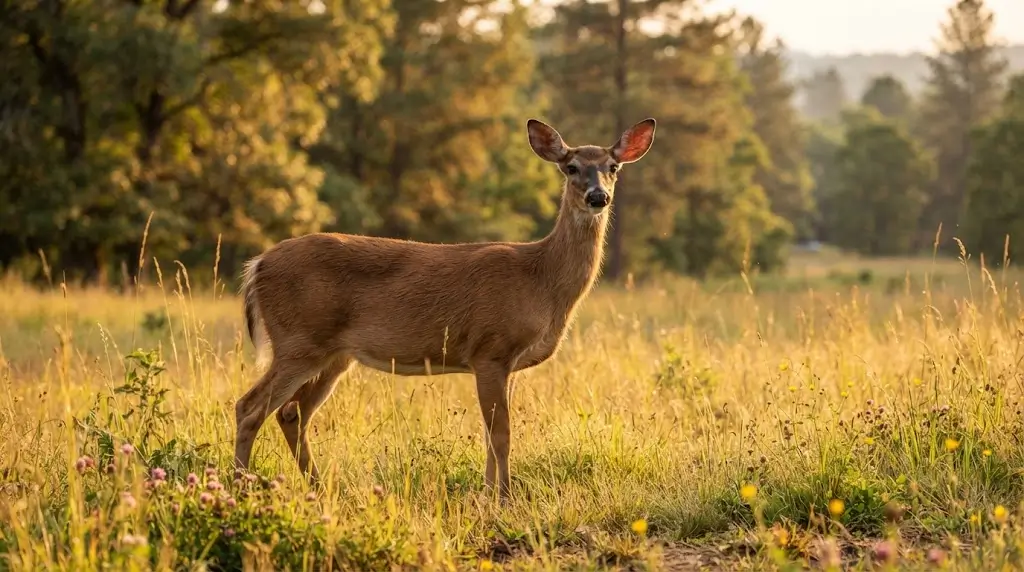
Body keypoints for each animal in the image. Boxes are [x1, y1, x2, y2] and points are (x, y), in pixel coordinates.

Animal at [233, 117, 657, 499]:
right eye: (571, 167)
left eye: (613, 167)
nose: (598, 197)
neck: (540, 279)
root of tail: (257, 265)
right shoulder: (490, 349)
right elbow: (501, 434)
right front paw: (504, 498)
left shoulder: (507, 363)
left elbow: (491, 434)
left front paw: (489, 493)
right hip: (299, 341)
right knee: (249, 406)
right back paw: (240, 487)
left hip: (334, 354)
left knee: (292, 413)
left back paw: (320, 489)